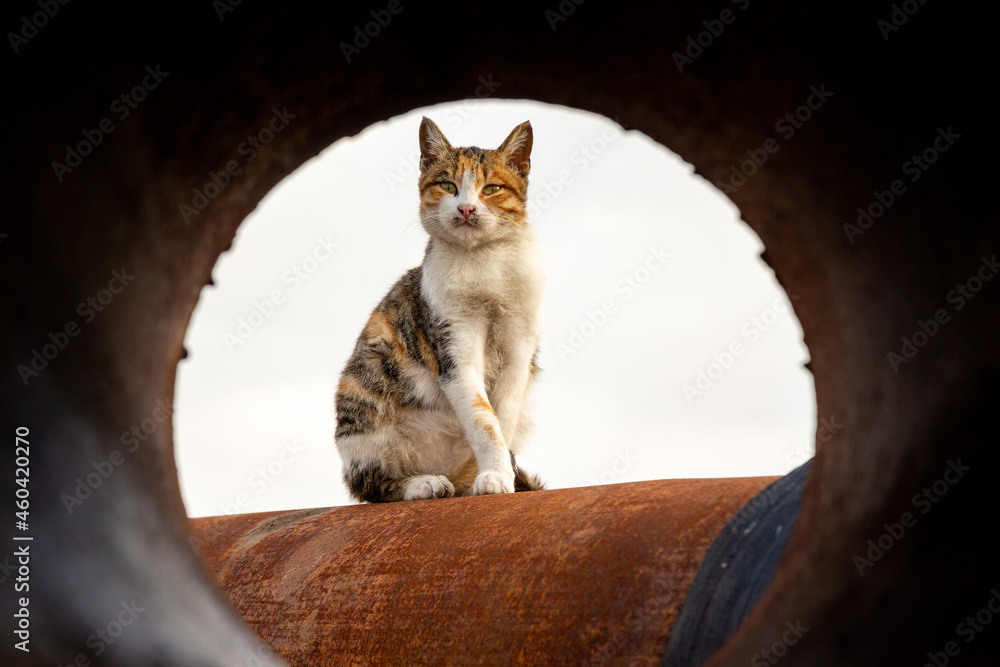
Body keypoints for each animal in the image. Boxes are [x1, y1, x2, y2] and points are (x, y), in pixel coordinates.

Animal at [332, 117, 544, 504]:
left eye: (491, 189)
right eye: (448, 186)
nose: (466, 208)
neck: (485, 262)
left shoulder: (519, 351)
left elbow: (502, 420)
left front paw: (498, 474)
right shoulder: (454, 348)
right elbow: (483, 419)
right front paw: (495, 474)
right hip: (364, 398)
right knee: (371, 485)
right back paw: (424, 484)